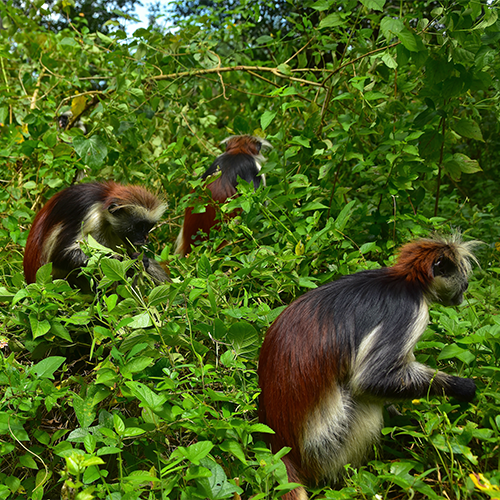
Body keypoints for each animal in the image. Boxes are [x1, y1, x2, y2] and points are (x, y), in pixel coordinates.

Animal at [23, 181, 168, 290]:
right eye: (139, 226)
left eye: (148, 227)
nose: (145, 238)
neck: (102, 199)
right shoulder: (91, 215)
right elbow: (60, 255)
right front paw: (125, 261)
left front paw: (139, 260)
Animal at [260, 235, 478, 500]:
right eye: (462, 279)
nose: (465, 289)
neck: (407, 281)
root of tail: (283, 446)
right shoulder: (410, 311)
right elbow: (371, 380)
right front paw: (462, 387)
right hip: (328, 445)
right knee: (363, 399)